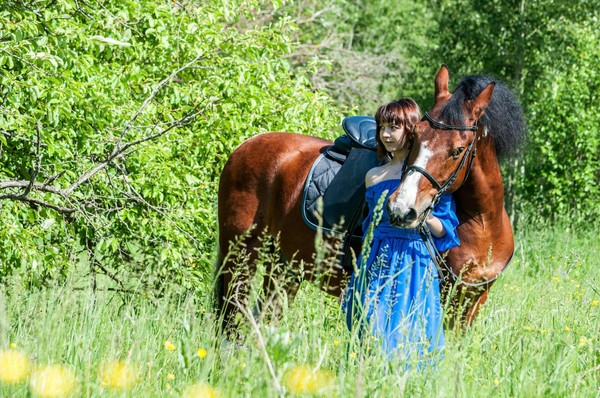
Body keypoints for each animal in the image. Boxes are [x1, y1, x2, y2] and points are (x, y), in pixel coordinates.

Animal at [216, 66, 524, 330]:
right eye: (416, 136)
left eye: (458, 150)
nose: (402, 209)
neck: (482, 224)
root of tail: (244, 146)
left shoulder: (471, 302)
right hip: (240, 254)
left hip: (283, 265)